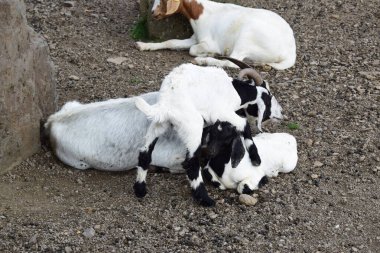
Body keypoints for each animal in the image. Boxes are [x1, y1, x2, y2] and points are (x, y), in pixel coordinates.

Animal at [137, 0, 296, 69]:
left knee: (232, 62)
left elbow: (192, 50)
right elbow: (171, 42)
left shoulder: (209, 43)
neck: (199, 13)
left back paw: (203, 61)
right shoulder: (194, 38)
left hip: (247, 37)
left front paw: (209, 54)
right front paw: (144, 45)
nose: (153, 13)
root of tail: (291, 52)